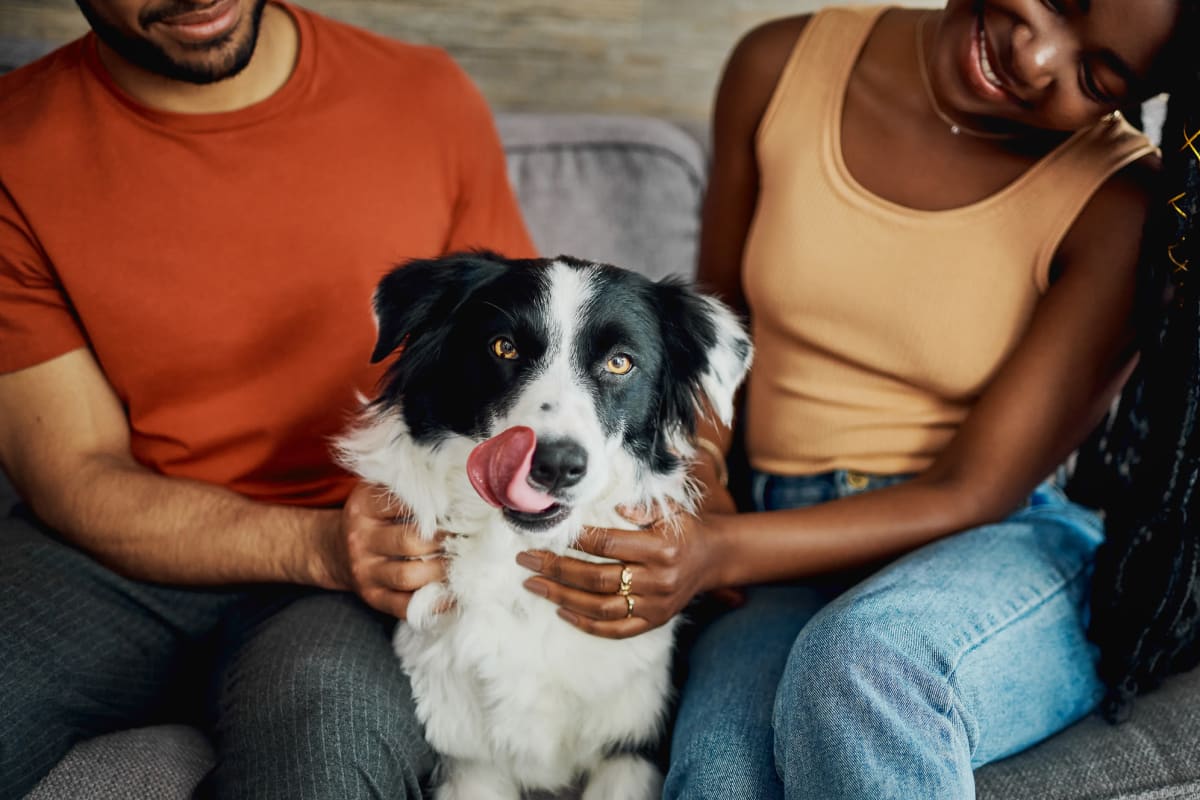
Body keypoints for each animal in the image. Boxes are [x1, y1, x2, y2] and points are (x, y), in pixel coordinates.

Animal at [338, 251, 748, 800]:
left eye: (620, 361)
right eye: (503, 347)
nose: (556, 464)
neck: (518, 560)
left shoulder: (632, 749)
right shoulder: (467, 763)